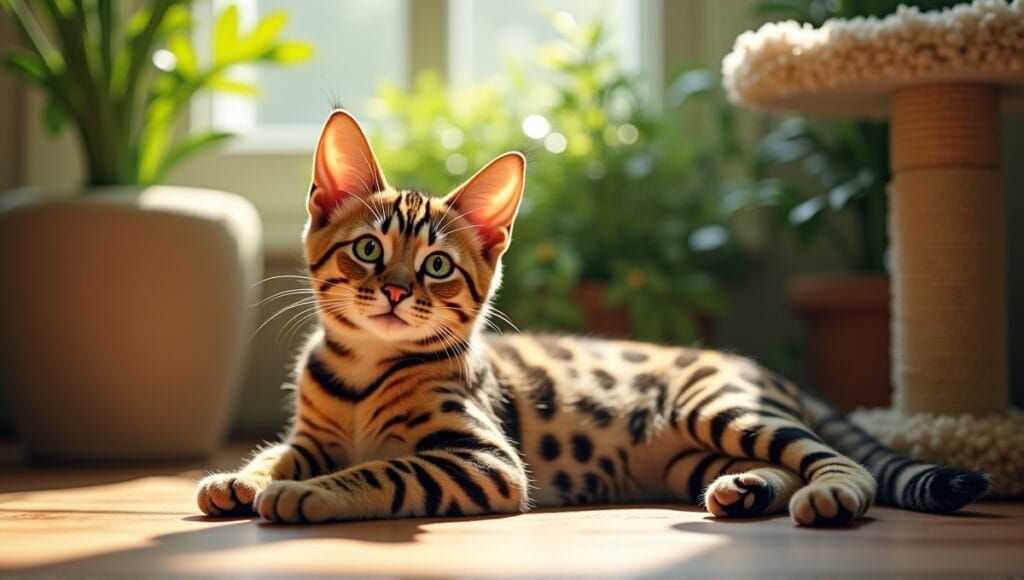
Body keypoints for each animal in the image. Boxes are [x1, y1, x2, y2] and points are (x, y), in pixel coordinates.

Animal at [195, 109, 987, 528]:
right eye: (368, 249)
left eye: (437, 266)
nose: (392, 291)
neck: (362, 374)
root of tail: (755, 367)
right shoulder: (316, 434)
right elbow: (282, 450)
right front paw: (243, 476)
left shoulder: (485, 462)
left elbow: (382, 470)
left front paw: (302, 493)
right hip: (687, 454)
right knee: (775, 465)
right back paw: (747, 490)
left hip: (718, 407)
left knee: (832, 457)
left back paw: (831, 494)